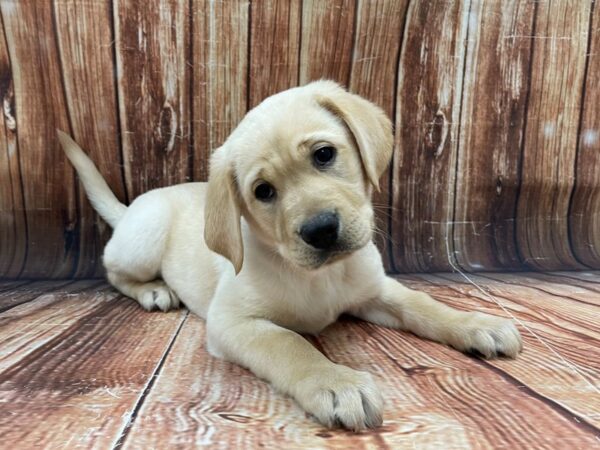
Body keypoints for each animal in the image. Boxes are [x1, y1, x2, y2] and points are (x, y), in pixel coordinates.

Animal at [58, 80, 524, 428]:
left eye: (324, 154)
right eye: (263, 191)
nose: (321, 230)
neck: (321, 276)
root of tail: (133, 206)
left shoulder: (377, 290)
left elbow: (422, 304)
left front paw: (475, 323)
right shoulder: (233, 322)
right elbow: (290, 344)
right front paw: (334, 382)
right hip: (144, 240)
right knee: (114, 272)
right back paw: (154, 291)